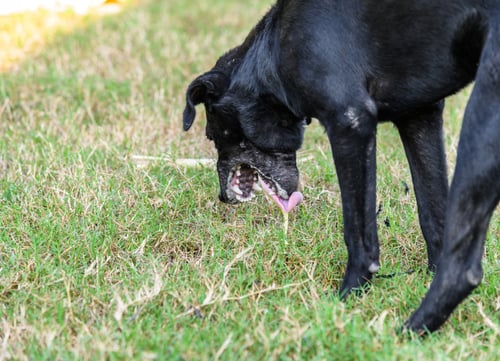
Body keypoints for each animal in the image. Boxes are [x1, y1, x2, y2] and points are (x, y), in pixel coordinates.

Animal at [185, 0, 500, 334]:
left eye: (212, 135)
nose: (222, 196)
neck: (272, 51)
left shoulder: (350, 123)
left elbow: (358, 232)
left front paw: (348, 296)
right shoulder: (420, 116)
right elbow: (433, 215)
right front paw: (427, 274)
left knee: (463, 269)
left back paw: (409, 330)